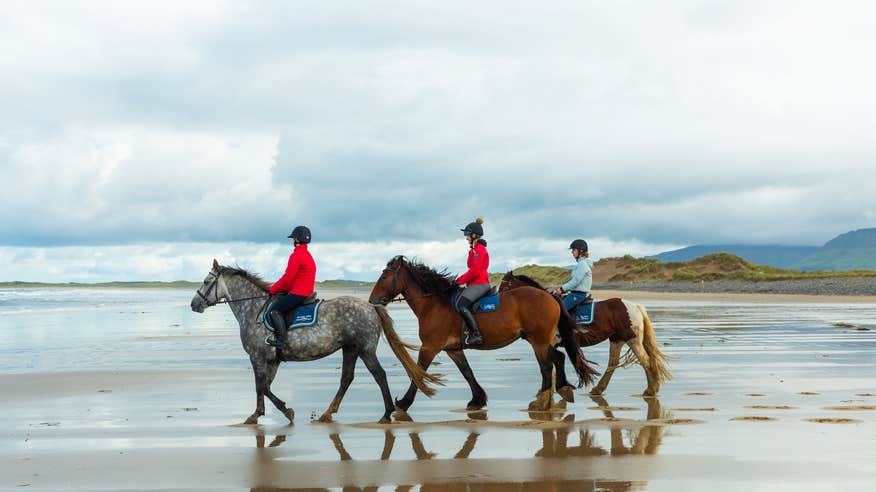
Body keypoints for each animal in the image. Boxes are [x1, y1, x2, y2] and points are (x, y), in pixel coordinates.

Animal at [188, 260, 442, 424]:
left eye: (206, 281)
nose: (193, 304)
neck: (254, 309)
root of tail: (371, 307)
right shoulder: (272, 360)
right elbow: (266, 386)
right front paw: (273, 411)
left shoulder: (257, 357)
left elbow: (261, 386)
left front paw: (269, 413)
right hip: (350, 349)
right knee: (346, 378)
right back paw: (328, 413)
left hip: (365, 349)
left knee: (379, 375)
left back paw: (386, 413)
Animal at [366, 256, 600, 414]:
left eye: (384, 276)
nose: (371, 300)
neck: (434, 304)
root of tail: (549, 296)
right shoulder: (453, 349)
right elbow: (467, 372)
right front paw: (477, 400)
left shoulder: (430, 347)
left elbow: (418, 372)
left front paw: (404, 403)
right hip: (539, 339)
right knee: (558, 357)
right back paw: (562, 389)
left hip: (538, 340)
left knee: (546, 366)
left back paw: (541, 402)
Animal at [496, 270, 676, 398]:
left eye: (505, 287)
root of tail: (635, 306)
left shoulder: (549, 342)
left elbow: (551, 365)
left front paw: (551, 391)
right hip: (616, 339)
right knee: (614, 363)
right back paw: (598, 389)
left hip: (632, 339)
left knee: (645, 360)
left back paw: (651, 390)